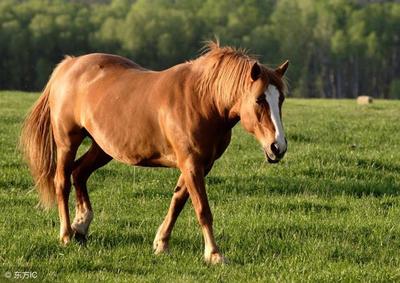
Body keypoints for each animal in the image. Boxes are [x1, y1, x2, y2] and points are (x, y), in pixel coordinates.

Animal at [20, 41, 288, 266]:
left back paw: (82, 226)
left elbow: (178, 201)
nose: (278, 147)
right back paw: (66, 234)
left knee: (79, 173)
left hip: (103, 148)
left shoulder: (200, 164)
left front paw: (161, 243)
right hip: (67, 142)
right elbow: (202, 210)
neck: (203, 100)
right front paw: (213, 254)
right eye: (259, 99)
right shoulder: (191, 163)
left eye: (281, 99)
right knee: (62, 181)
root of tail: (69, 65)